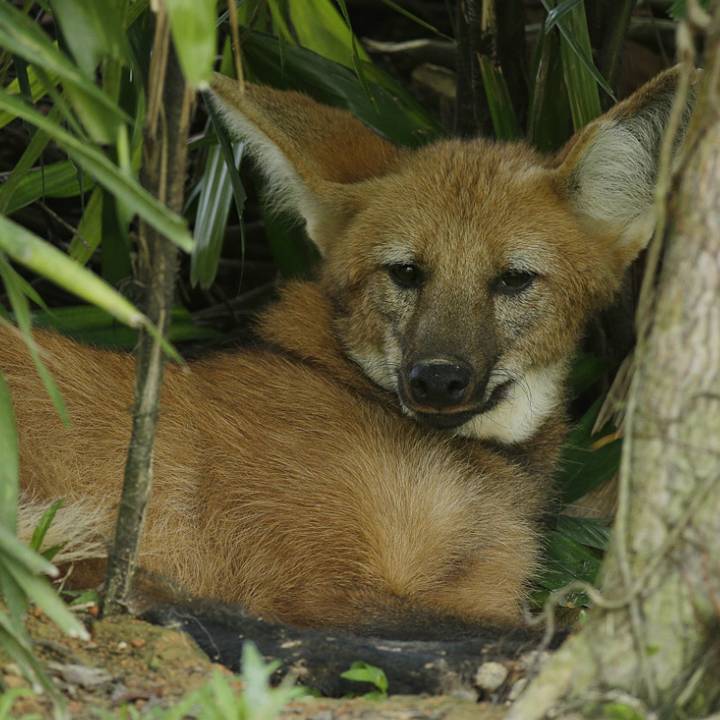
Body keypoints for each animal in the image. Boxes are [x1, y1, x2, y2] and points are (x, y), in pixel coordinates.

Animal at [4, 68, 690, 635]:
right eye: (406, 273)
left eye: (513, 280)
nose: (437, 379)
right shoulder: (321, 589)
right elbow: (527, 631)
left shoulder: (482, 579)